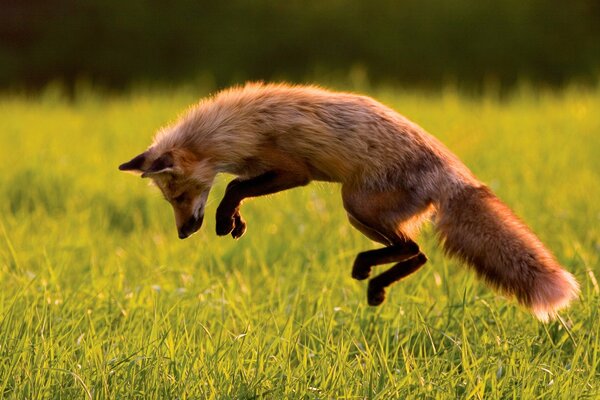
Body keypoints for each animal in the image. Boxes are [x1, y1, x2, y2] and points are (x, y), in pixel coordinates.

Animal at [119, 82, 580, 322]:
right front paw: (234, 222)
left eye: (180, 196)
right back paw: (375, 283)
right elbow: (235, 188)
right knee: (418, 254)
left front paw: (225, 218)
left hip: (354, 203)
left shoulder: (293, 171)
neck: (234, 129)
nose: (184, 233)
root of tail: (454, 173)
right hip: (361, 213)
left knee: (414, 250)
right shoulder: (269, 171)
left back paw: (369, 276)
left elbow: (233, 187)